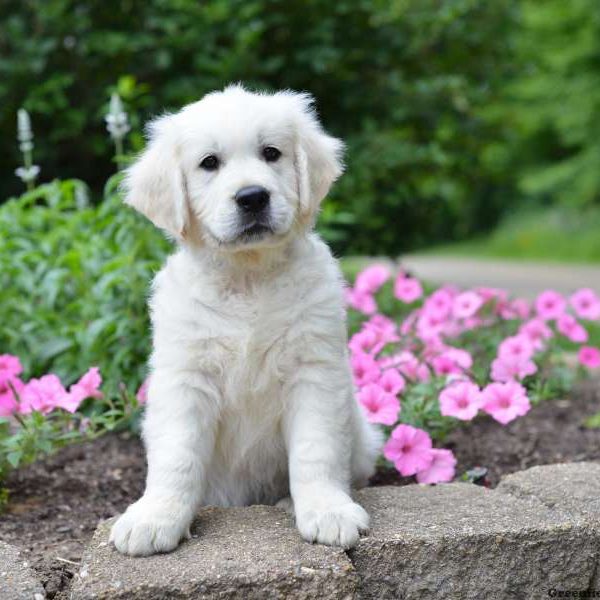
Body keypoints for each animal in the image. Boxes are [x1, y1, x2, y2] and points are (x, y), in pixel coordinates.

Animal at [109, 85, 380, 556]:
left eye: (271, 153)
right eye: (209, 163)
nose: (253, 196)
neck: (248, 275)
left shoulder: (314, 370)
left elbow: (316, 448)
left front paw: (327, 511)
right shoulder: (186, 377)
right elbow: (177, 455)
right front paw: (155, 517)